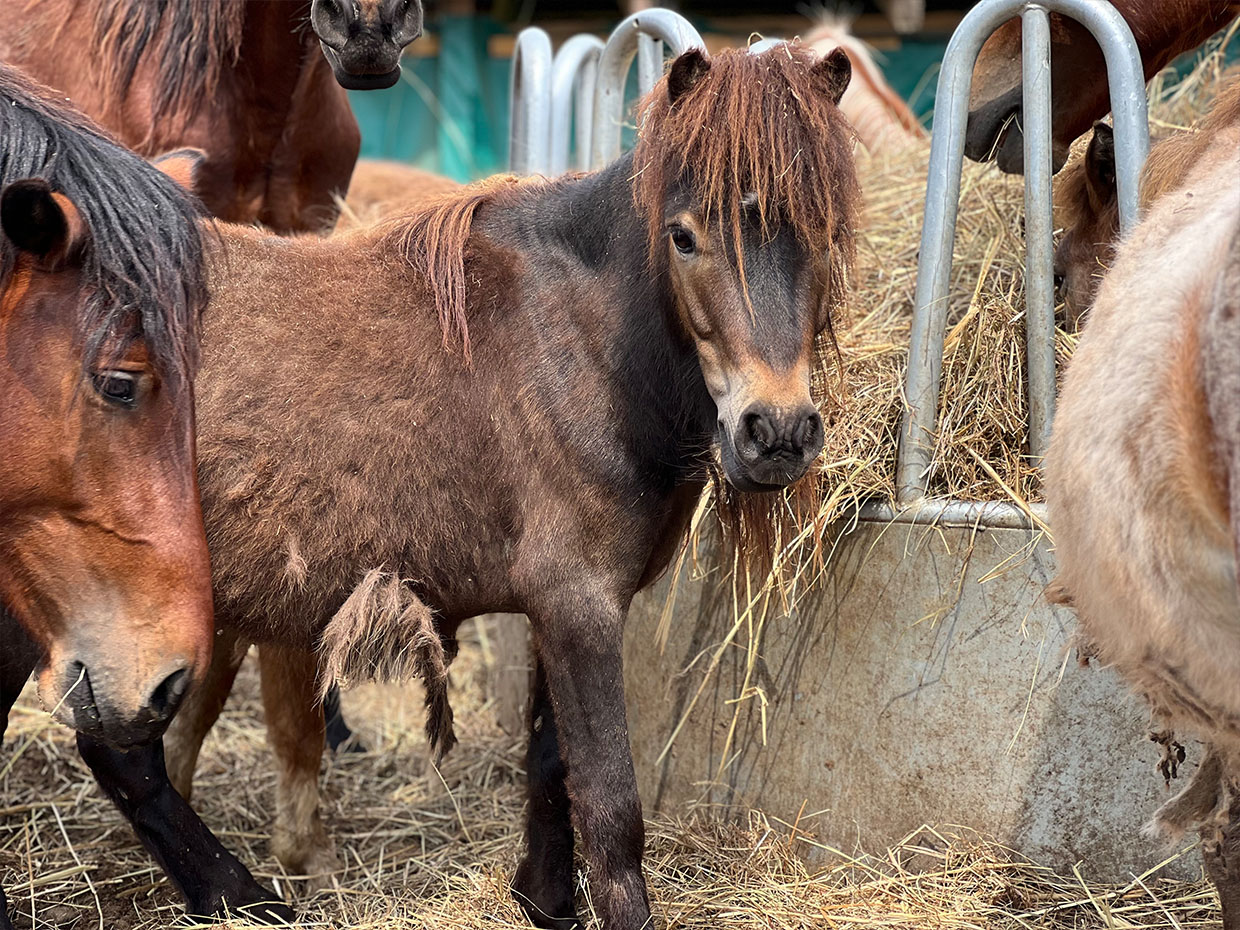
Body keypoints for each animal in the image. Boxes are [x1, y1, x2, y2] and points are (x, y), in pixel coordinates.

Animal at [0, 45, 863, 930]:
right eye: (684, 237)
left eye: (829, 233)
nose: (776, 432)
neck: (579, 344)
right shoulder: (581, 605)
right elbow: (610, 807)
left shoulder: (559, 607)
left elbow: (551, 766)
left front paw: (545, 901)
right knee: (120, 749)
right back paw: (247, 896)